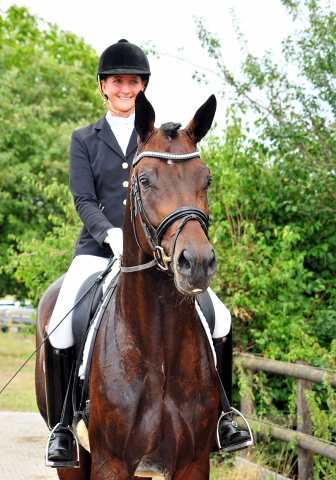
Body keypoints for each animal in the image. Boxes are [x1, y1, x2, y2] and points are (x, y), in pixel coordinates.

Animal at [34, 91, 218, 480]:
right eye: (144, 180)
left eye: (206, 179)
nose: (196, 263)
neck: (158, 345)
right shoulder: (111, 462)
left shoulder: (193, 462)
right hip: (75, 459)